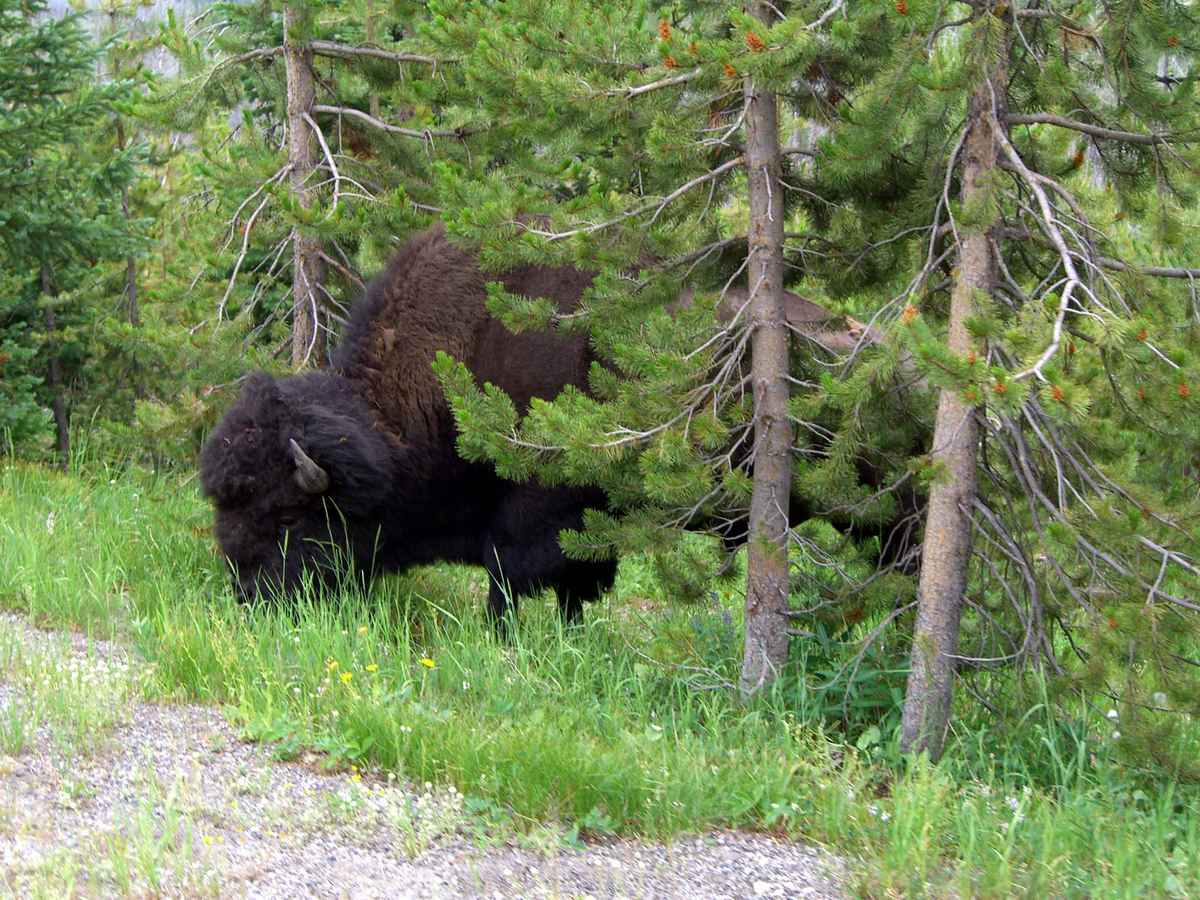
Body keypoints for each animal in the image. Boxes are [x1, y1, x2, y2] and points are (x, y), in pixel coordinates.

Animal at [199, 225, 918, 623]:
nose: (246, 594)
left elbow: (512, 585)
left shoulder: (534, 521)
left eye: (288, 515)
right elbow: (571, 591)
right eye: (226, 507)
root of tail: (900, 359)